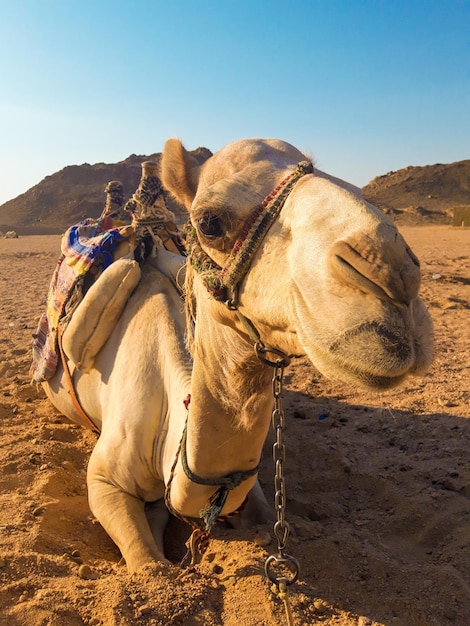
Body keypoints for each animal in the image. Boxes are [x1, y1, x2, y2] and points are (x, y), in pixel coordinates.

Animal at [42, 136, 436, 572]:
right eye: (208, 222)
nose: (395, 274)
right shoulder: (103, 481)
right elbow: (149, 565)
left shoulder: (245, 484)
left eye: (355, 187)